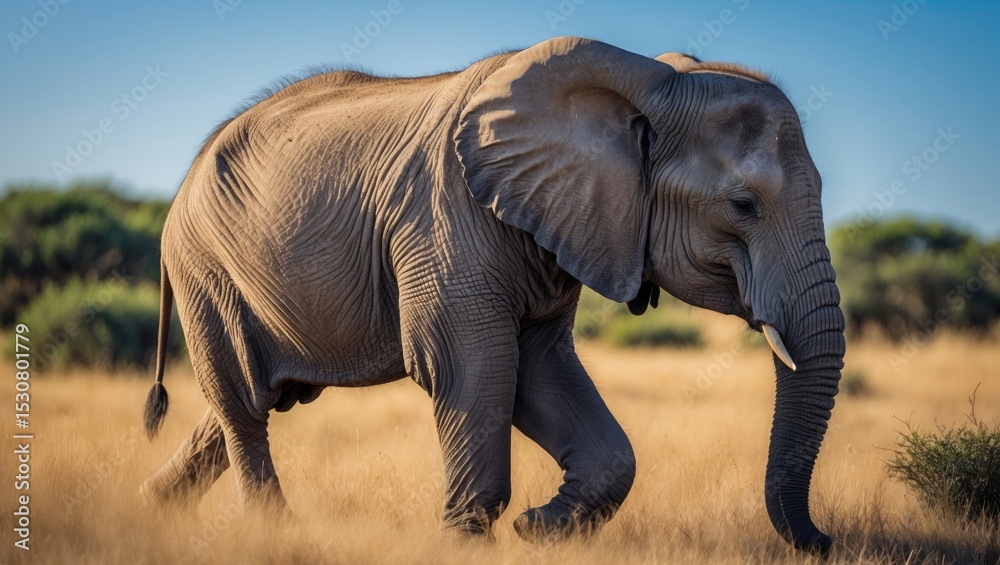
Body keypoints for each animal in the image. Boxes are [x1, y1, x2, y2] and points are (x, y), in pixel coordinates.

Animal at [141, 36, 845, 553]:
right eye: (743, 205)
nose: (826, 541)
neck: (647, 79)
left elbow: (538, 369)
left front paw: (537, 529)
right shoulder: (447, 219)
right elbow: (474, 366)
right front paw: (467, 543)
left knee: (251, 402)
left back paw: (150, 508)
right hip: (206, 269)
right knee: (244, 403)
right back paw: (271, 532)